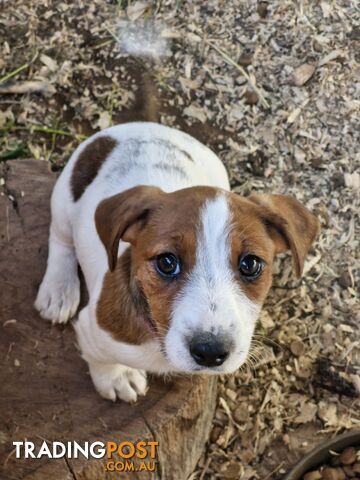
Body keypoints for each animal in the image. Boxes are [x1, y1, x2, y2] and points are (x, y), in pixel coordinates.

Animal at [34, 122, 320, 404]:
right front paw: (118, 377)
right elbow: (101, 360)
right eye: (167, 262)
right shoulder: (92, 330)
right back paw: (58, 291)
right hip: (63, 203)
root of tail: (142, 126)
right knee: (60, 239)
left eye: (250, 264)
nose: (210, 351)